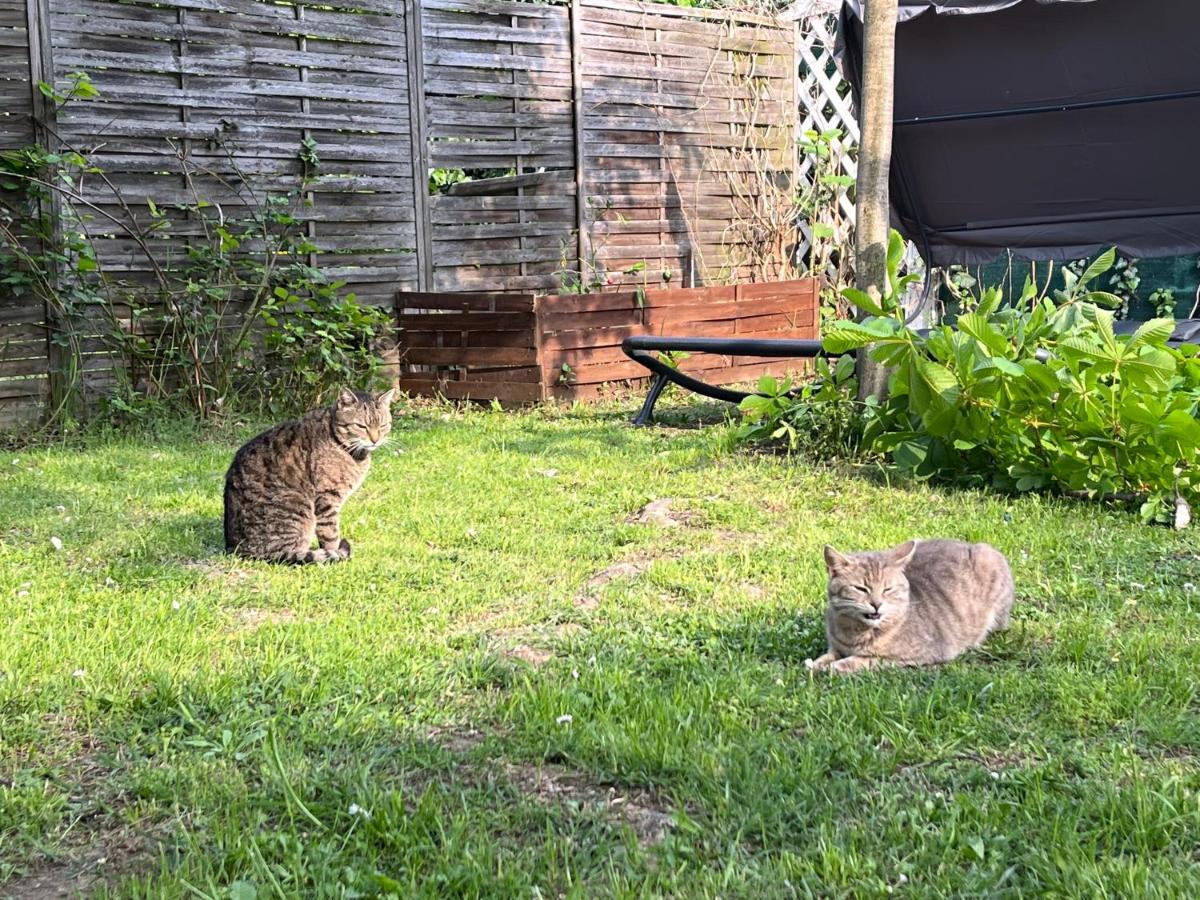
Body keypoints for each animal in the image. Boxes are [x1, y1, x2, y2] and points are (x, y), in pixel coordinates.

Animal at [223, 388, 396, 564]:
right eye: (361, 426)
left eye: (383, 425)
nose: (375, 440)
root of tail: (237, 548)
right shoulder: (328, 496)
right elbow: (330, 533)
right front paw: (335, 554)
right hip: (298, 506)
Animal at [806, 540, 1012, 672]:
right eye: (861, 588)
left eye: (887, 589)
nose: (876, 604)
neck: (854, 634)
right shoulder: (835, 647)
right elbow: (826, 656)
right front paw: (817, 664)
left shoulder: (918, 655)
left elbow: (865, 660)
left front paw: (836, 666)